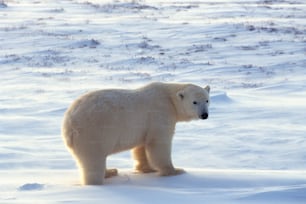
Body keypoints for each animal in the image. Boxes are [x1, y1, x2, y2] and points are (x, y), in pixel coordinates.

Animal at [62, 81, 210, 185]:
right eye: (194, 102)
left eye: (207, 100)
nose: (204, 115)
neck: (169, 99)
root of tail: (68, 123)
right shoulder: (160, 114)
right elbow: (159, 143)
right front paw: (175, 171)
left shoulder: (144, 125)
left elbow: (142, 146)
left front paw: (146, 168)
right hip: (93, 131)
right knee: (93, 160)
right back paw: (98, 181)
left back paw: (110, 171)